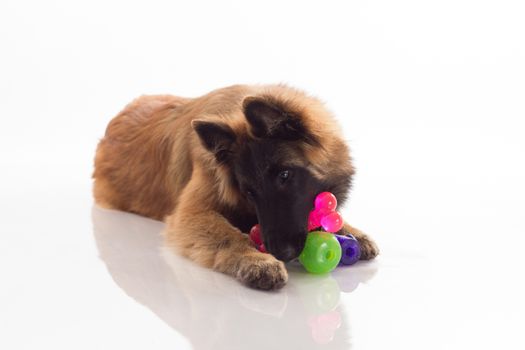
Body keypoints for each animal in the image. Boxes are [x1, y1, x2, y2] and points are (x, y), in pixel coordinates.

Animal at [91, 85, 376, 290]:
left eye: (285, 175)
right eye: (249, 192)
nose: (280, 253)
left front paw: (353, 232)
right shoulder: (192, 213)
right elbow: (226, 235)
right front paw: (256, 260)